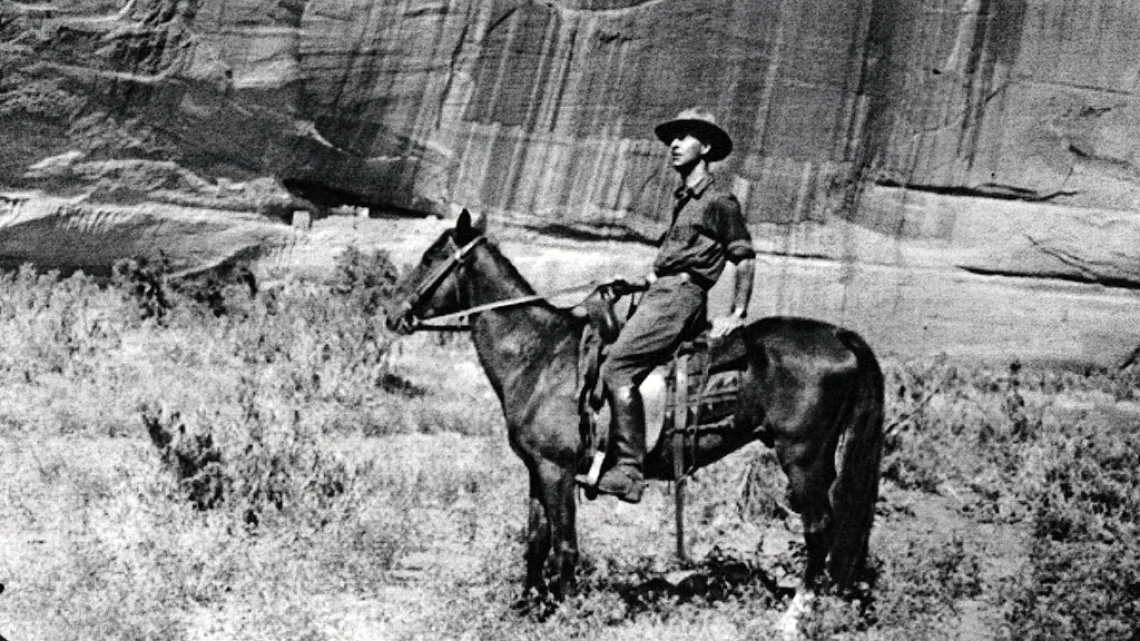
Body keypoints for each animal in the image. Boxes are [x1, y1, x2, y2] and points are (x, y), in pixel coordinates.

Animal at [387, 213, 884, 629]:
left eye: (430, 257)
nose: (394, 314)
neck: (539, 355)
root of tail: (840, 334)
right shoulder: (538, 469)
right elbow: (535, 541)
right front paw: (526, 607)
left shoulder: (558, 470)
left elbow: (564, 547)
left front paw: (565, 613)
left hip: (801, 457)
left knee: (820, 528)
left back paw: (795, 618)